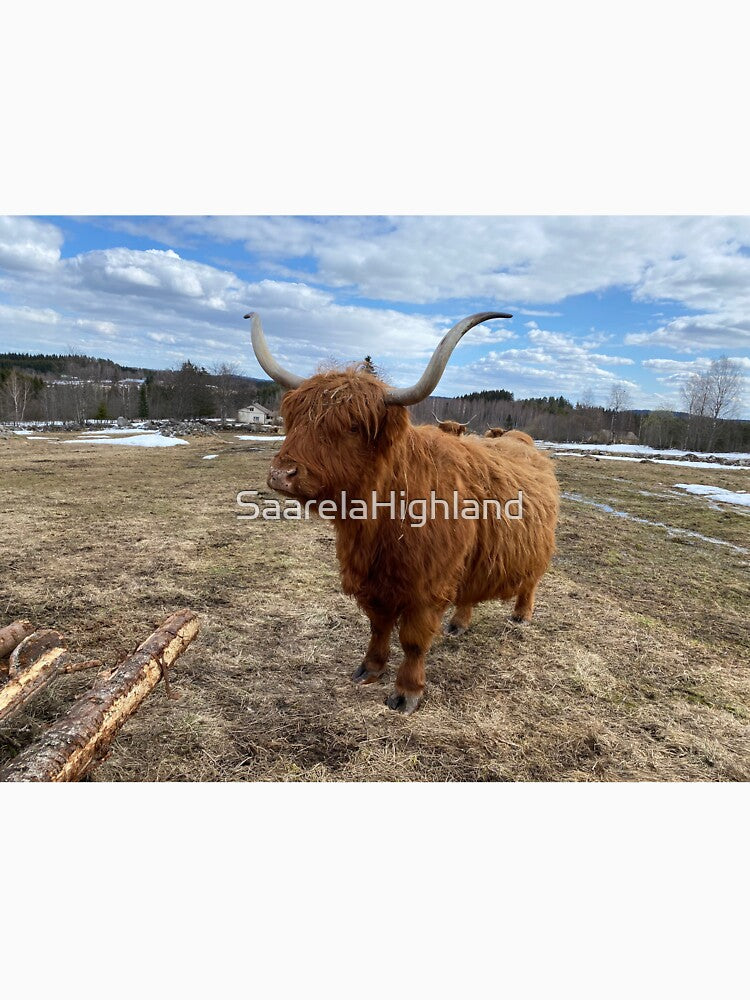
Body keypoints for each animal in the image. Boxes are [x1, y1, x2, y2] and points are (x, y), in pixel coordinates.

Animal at [245, 311, 559, 715]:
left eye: (352, 426)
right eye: (295, 418)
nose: (281, 473)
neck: (378, 520)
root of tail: (523, 442)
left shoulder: (427, 586)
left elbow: (412, 639)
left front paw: (406, 692)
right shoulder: (372, 580)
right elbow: (378, 626)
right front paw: (370, 669)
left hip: (535, 551)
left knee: (531, 582)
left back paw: (520, 616)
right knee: (469, 592)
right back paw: (459, 623)